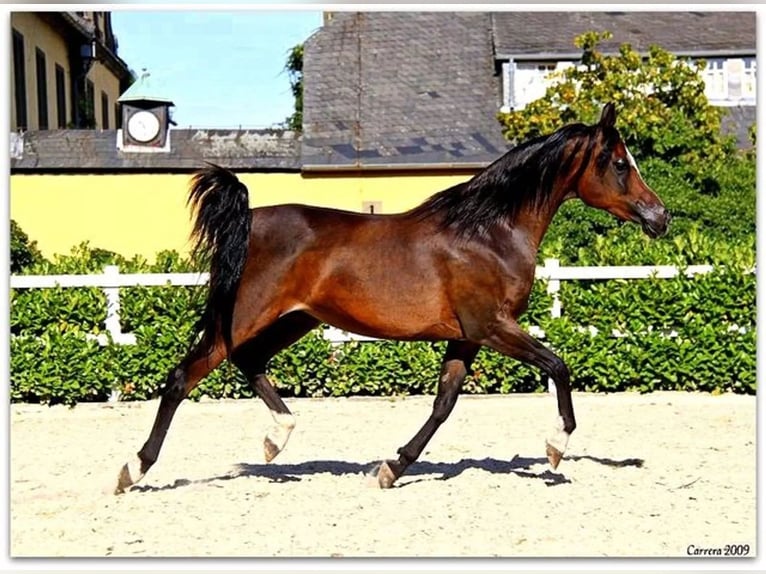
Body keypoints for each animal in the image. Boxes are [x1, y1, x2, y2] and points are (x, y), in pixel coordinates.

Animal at [115, 102, 670, 493]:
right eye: (620, 163)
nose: (660, 217)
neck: (487, 232)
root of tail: (247, 219)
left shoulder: (467, 336)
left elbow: (444, 403)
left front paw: (392, 467)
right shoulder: (493, 326)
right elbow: (559, 366)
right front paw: (555, 449)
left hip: (294, 319)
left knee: (248, 361)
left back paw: (277, 438)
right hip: (248, 315)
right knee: (183, 376)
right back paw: (133, 470)